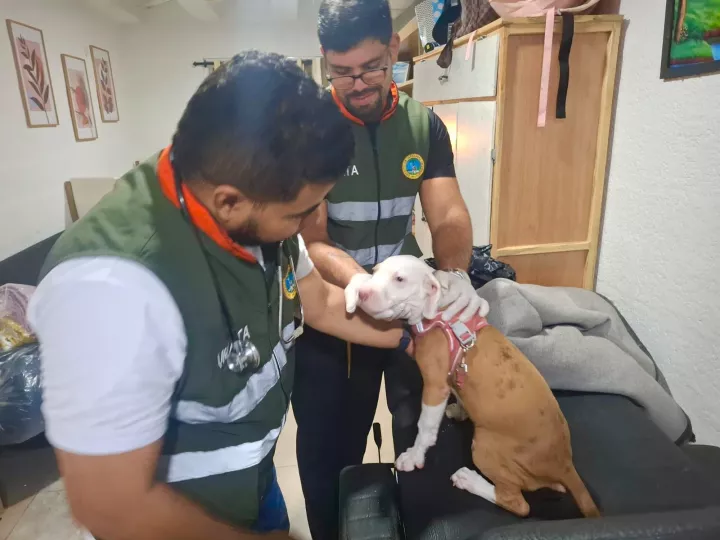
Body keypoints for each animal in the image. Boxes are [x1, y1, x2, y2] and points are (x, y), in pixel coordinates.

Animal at [346, 256, 600, 518]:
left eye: (399, 279)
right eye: (375, 272)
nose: (362, 292)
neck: (441, 313)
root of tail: (564, 464)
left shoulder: (435, 387)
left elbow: (425, 427)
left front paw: (414, 456)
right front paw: (460, 409)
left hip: (485, 445)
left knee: (518, 503)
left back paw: (470, 480)